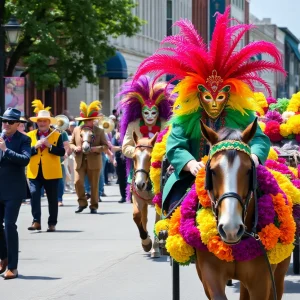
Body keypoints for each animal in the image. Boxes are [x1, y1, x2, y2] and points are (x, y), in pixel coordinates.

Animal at [196, 120, 292, 300]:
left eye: (248, 170)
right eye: (212, 171)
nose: (231, 228)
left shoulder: (261, 281)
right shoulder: (209, 274)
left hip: (279, 273)